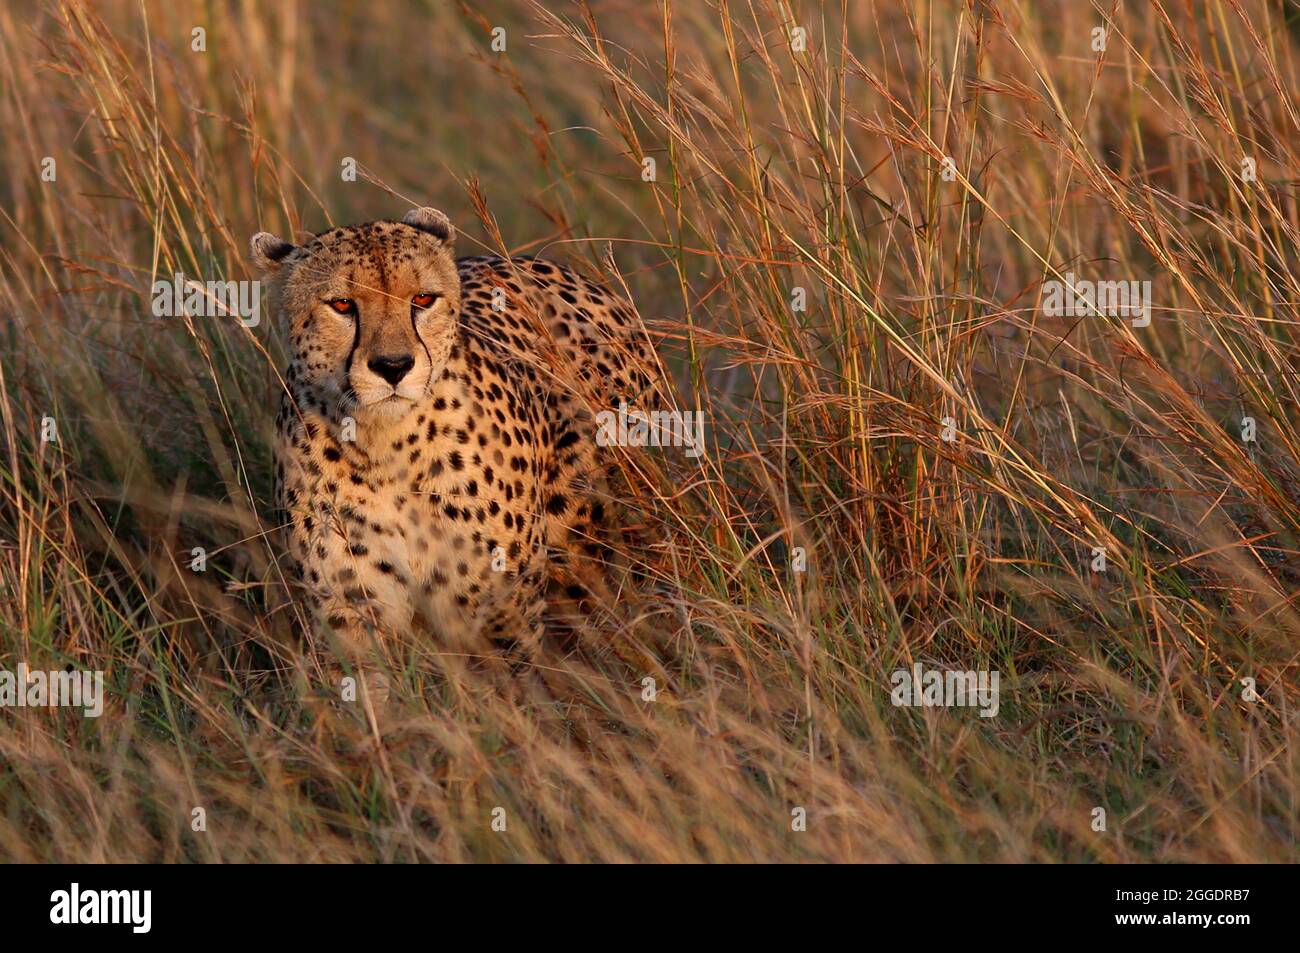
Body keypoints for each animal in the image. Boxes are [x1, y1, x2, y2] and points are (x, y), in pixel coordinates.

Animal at [249, 208, 655, 670]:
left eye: (423, 300)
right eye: (342, 304)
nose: (393, 366)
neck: (386, 448)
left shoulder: (500, 611)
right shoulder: (351, 615)